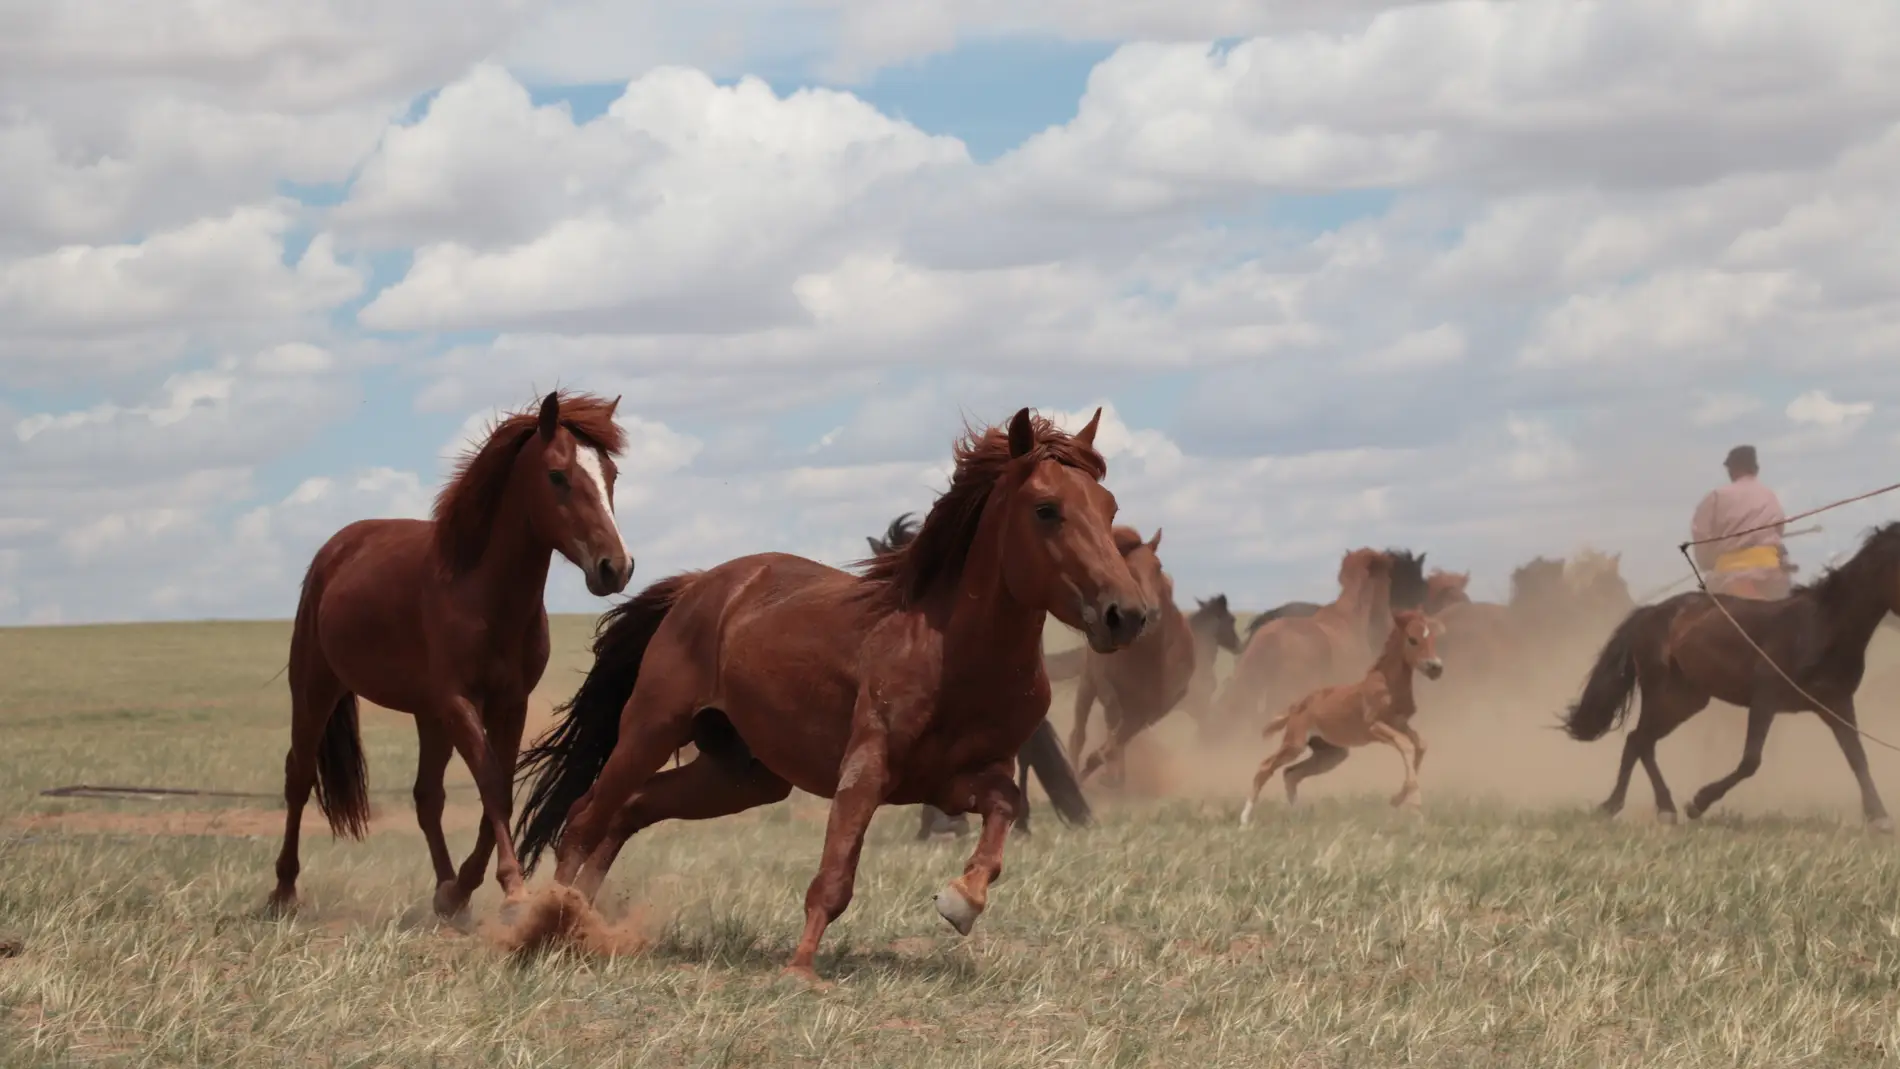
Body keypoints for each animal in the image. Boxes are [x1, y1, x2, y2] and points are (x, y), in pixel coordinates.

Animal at [266, 391, 630, 918]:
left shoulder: (508, 703)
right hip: (315, 687)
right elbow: (492, 785)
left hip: (427, 714)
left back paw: (444, 892)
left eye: (611, 475)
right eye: (557, 476)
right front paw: (511, 888)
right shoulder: (460, 702)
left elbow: (497, 788)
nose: (615, 568)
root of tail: (336, 549)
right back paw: (284, 890)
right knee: (297, 777)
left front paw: (464, 887)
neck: (480, 592)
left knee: (426, 796)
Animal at [1558, 520, 1900, 827]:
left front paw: (1879, 815)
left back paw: (1643, 807)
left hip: (1686, 701)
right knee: (1639, 742)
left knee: (1639, 742)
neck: (1821, 629)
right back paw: (1637, 807)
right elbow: (1750, 761)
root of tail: (1651, 612)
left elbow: (1858, 758)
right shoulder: (1765, 699)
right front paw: (1698, 802)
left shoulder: (1836, 704)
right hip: (1662, 694)